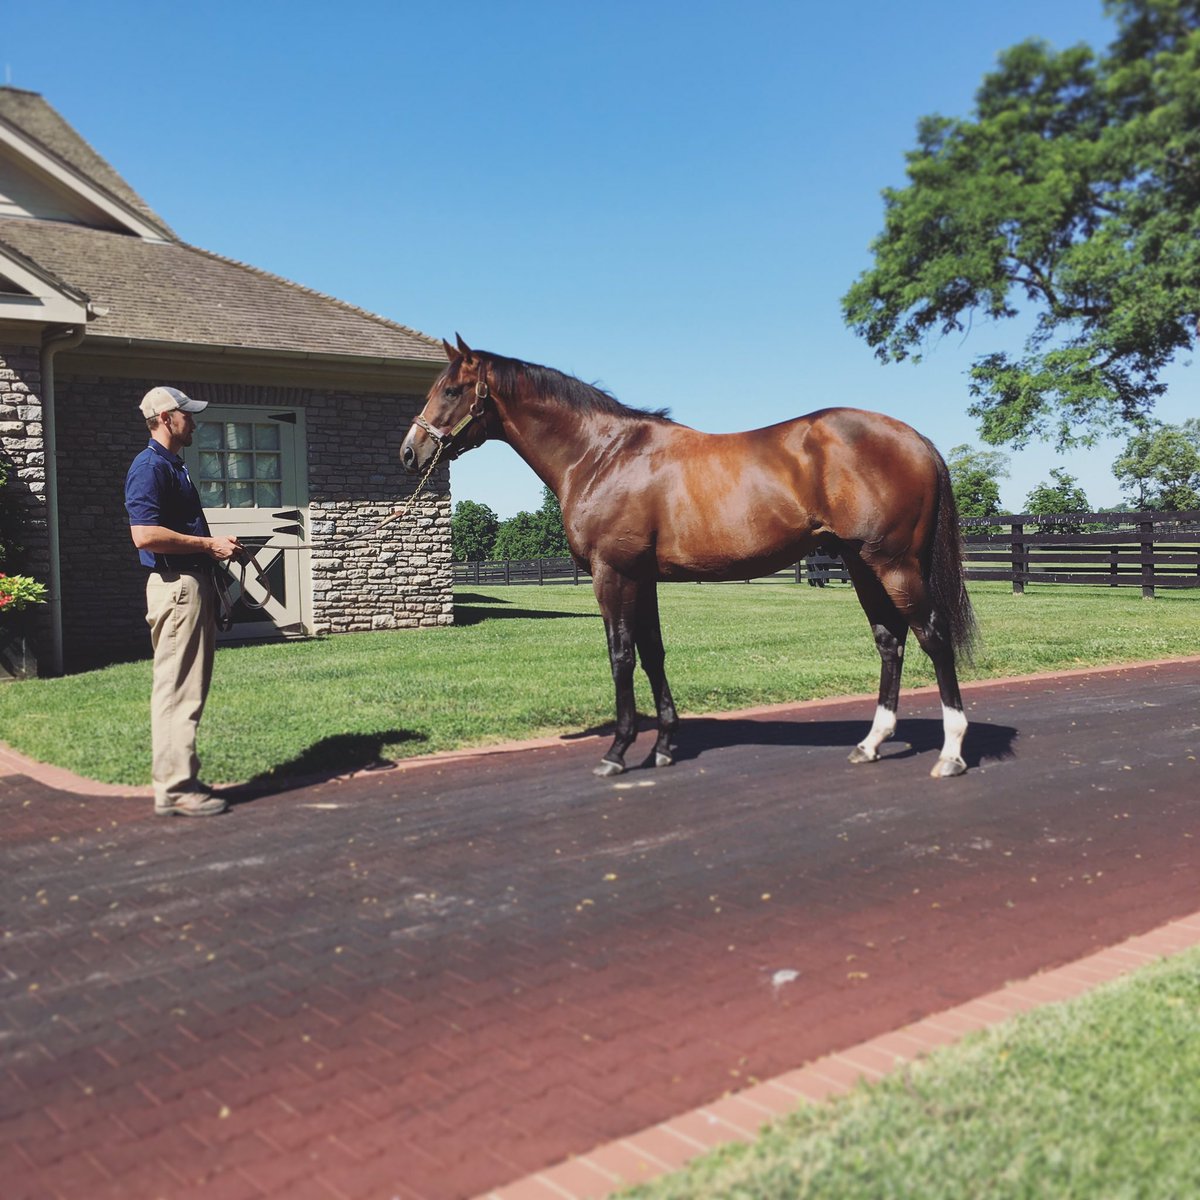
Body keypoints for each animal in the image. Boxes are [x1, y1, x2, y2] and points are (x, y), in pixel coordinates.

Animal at [403, 340, 974, 777]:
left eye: (451, 390)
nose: (410, 452)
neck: (602, 455)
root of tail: (917, 440)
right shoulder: (643, 578)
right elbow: (653, 653)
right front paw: (662, 746)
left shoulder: (613, 575)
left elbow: (621, 656)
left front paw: (617, 751)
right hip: (860, 564)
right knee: (889, 640)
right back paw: (871, 743)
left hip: (893, 564)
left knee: (932, 636)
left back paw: (950, 753)